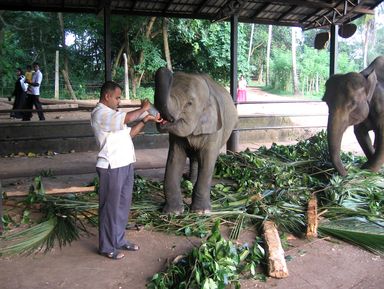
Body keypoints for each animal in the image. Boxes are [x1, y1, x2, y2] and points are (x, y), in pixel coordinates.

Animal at [153, 66, 237, 213]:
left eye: (189, 103)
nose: (165, 69)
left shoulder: (214, 130)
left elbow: (207, 159)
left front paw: (201, 212)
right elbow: (175, 159)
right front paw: (173, 212)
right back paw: (190, 181)